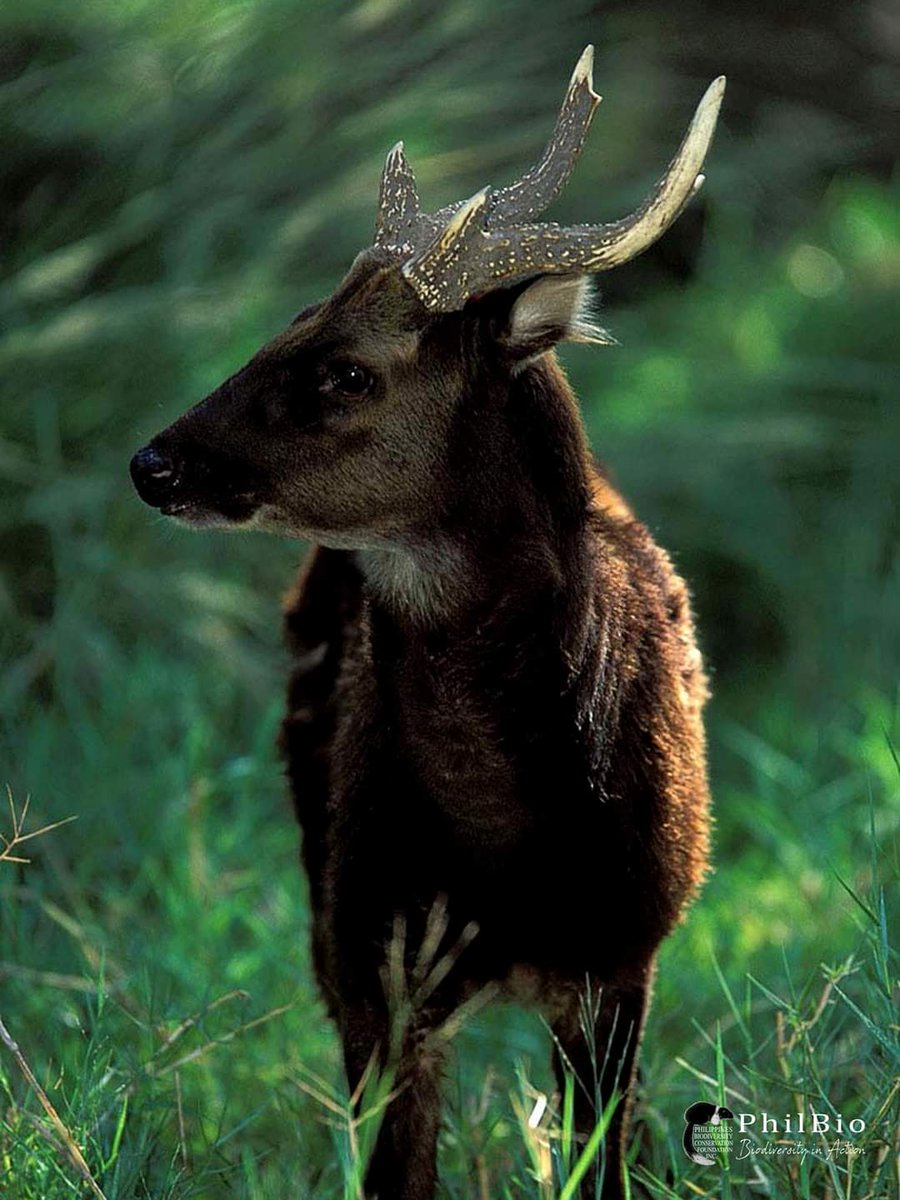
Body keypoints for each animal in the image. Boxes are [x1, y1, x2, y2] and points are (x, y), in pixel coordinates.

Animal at [130, 47, 724, 1200]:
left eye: (348, 370)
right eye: (288, 321)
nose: (153, 463)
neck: (509, 835)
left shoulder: (623, 952)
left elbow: (602, 1162)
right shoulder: (374, 955)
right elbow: (395, 1170)